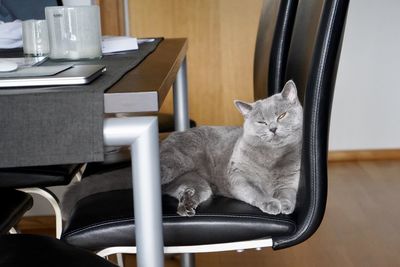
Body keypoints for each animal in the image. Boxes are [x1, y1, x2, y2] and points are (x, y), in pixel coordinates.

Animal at [161, 80, 302, 217]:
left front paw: (285, 205)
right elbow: (257, 192)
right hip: (174, 163)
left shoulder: (290, 180)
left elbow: (287, 194)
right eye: (262, 122)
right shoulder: (239, 177)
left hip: (196, 182)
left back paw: (186, 205)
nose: (273, 128)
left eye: (282, 115)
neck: (273, 155)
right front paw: (271, 203)